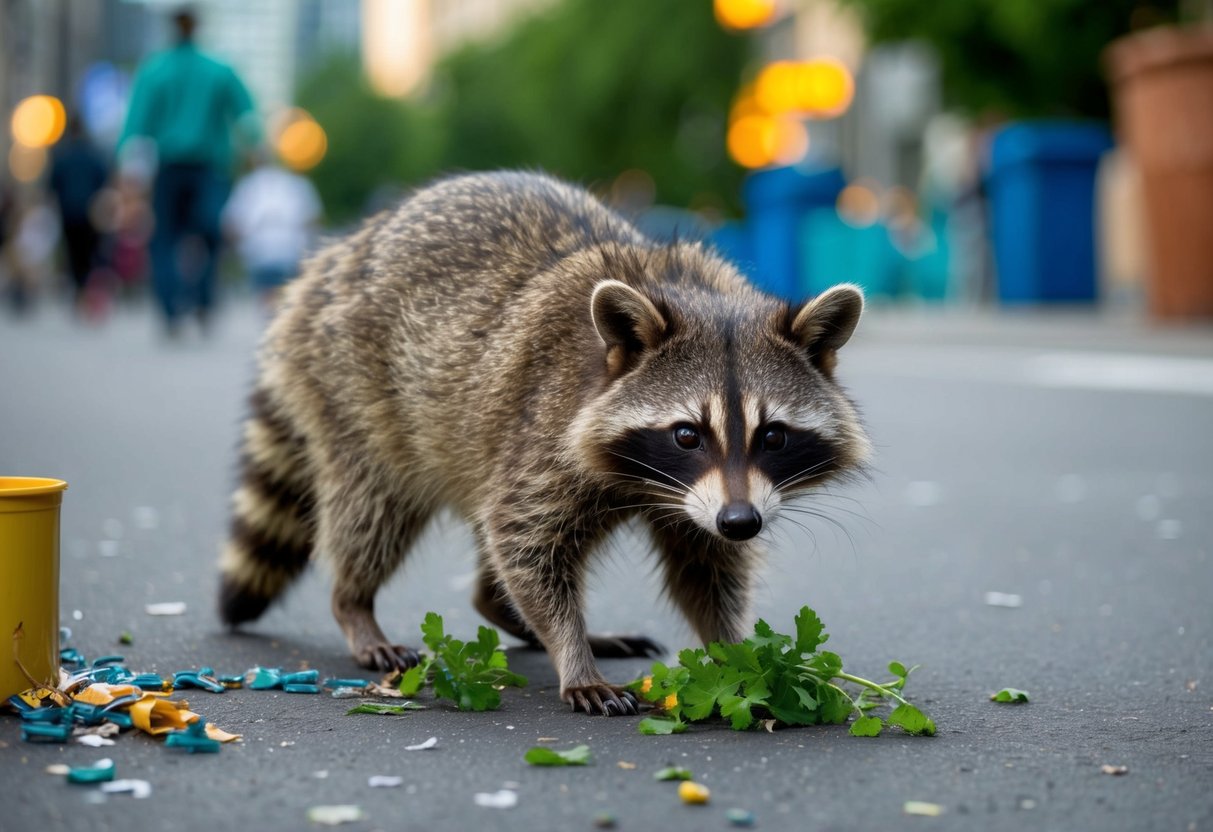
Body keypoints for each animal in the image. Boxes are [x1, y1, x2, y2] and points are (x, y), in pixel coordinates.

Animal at [218, 171, 870, 716]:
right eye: (687, 433)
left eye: (773, 435)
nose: (741, 522)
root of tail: (336, 255)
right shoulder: (545, 430)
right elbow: (525, 541)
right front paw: (570, 651)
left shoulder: (702, 499)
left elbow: (706, 566)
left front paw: (734, 652)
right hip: (354, 388)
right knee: (375, 507)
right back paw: (355, 603)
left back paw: (502, 608)